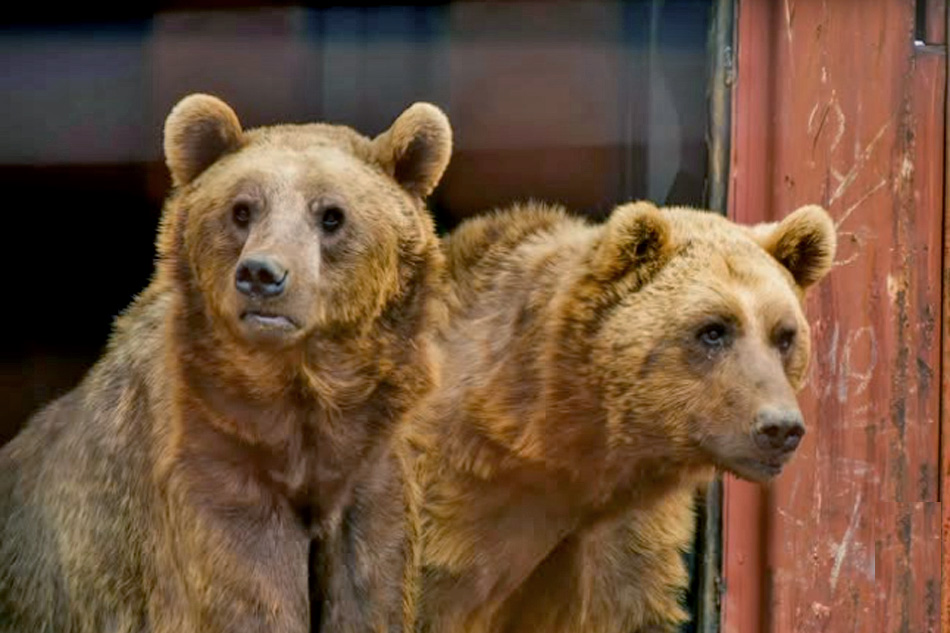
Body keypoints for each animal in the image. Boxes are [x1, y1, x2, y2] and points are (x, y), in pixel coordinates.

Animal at [0, 94, 451, 633]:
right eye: (242, 209)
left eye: (331, 215)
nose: (261, 273)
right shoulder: (209, 468)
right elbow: (246, 596)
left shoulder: (369, 475)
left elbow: (370, 593)